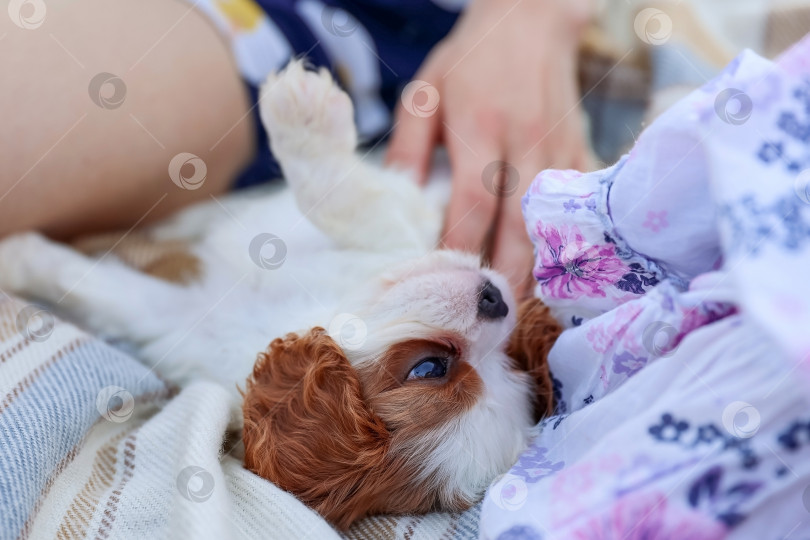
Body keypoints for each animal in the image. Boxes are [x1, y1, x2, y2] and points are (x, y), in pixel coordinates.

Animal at [0, 62, 560, 528]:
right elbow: (96, 286)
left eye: (500, 362)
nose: (498, 299)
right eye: (430, 367)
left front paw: (302, 120)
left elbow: (346, 204)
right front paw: (17, 255)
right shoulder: (185, 315)